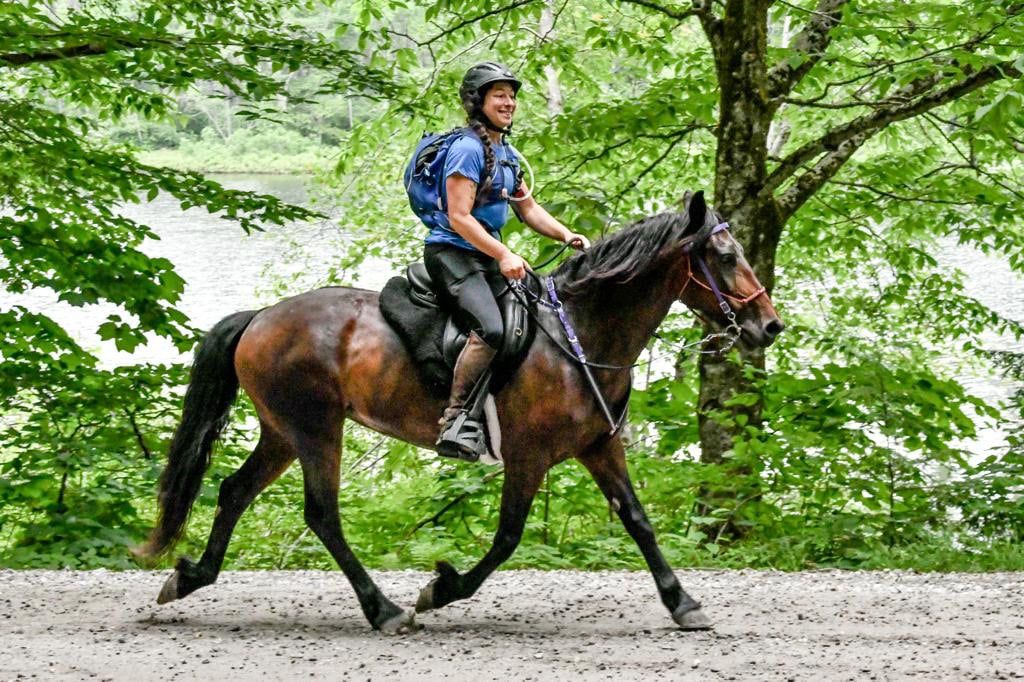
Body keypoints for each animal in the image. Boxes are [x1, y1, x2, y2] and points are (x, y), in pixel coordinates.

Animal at [132, 187, 778, 630]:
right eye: (724, 257)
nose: (769, 326)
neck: (578, 335)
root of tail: (261, 317)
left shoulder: (599, 446)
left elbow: (638, 521)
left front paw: (683, 602)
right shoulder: (529, 455)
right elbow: (508, 537)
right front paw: (439, 589)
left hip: (282, 432)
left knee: (235, 492)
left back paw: (189, 578)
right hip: (315, 429)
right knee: (322, 515)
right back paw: (384, 609)